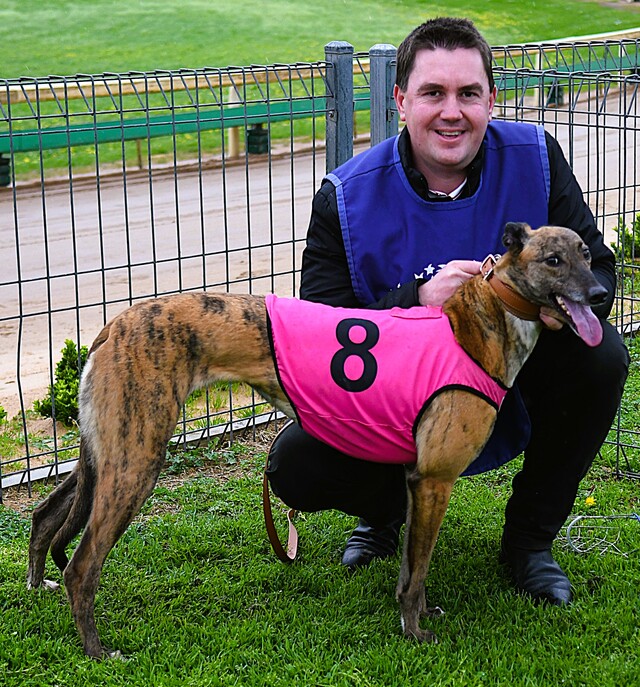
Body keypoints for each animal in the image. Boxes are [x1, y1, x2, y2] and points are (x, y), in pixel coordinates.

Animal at [26, 222, 607, 658]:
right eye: (553, 259)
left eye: (585, 252)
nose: (601, 294)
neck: (476, 325)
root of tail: (113, 328)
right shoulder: (434, 480)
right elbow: (417, 573)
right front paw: (416, 631)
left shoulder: (415, 481)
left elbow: (408, 568)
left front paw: (414, 617)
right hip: (135, 461)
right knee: (82, 565)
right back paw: (97, 650)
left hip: (104, 453)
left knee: (46, 515)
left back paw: (36, 586)